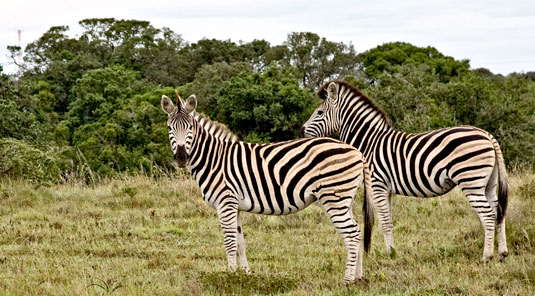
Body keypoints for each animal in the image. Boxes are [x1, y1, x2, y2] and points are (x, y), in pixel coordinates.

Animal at [161, 93, 374, 284]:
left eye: (190, 127)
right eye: (170, 128)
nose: (181, 157)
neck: (214, 159)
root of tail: (357, 152)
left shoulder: (225, 203)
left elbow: (229, 242)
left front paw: (229, 276)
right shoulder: (235, 206)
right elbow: (240, 242)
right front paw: (244, 275)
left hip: (333, 197)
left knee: (352, 234)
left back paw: (347, 280)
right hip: (345, 198)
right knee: (358, 232)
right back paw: (358, 277)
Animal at [302, 80, 510, 262]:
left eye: (319, 112)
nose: (302, 130)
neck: (369, 142)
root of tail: (487, 135)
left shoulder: (378, 185)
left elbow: (385, 221)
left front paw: (390, 254)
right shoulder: (387, 190)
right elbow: (388, 220)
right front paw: (392, 251)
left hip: (471, 181)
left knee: (488, 215)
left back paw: (486, 256)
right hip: (488, 183)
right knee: (498, 211)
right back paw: (502, 253)